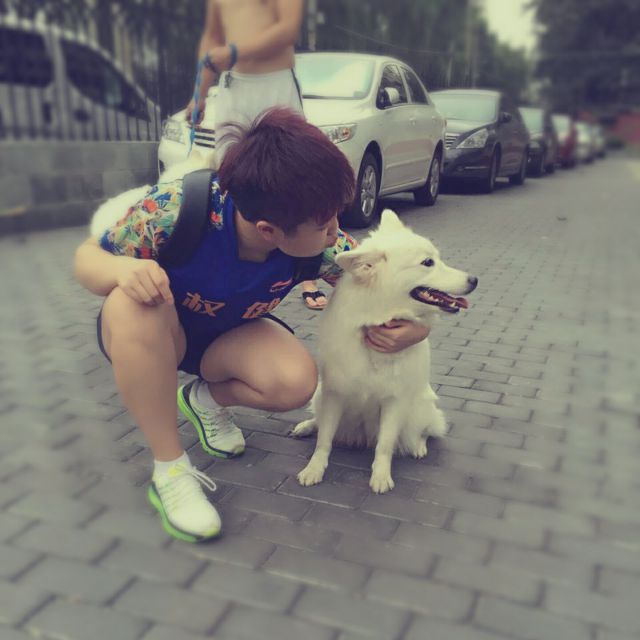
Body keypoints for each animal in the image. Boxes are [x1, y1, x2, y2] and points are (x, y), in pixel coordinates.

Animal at [291, 210, 478, 493]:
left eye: (436, 259)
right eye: (427, 262)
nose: (474, 280)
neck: (376, 319)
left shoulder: (394, 401)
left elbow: (385, 444)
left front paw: (380, 477)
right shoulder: (335, 393)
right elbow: (324, 439)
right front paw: (314, 469)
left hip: (419, 407)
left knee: (422, 430)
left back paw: (418, 446)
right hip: (320, 394)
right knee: (320, 421)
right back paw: (306, 426)